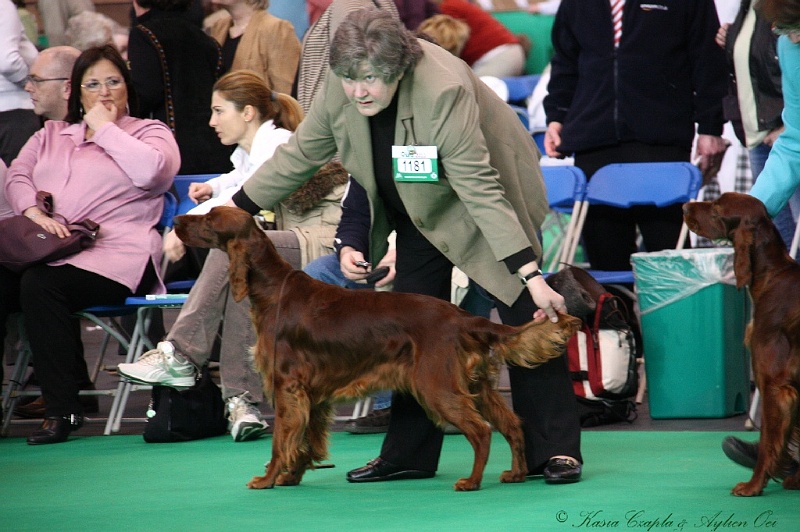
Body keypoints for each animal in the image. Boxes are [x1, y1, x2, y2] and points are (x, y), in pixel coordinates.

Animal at [173, 207, 580, 490]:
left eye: (208, 219)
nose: (176, 220)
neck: (273, 289)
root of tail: (464, 318)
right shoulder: (312, 393)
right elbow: (305, 440)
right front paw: (292, 477)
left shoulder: (288, 385)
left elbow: (280, 441)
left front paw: (268, 479)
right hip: (476, 385)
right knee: (511, 424)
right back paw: (516, 473)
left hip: (436, 385)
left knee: (480, 431)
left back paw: (472, 481)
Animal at [680, 193, 800, 496]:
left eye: (717, 208)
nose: (684, 206)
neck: (772, 276)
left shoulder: (772, 385)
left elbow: (768, 439)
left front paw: (753, 485)